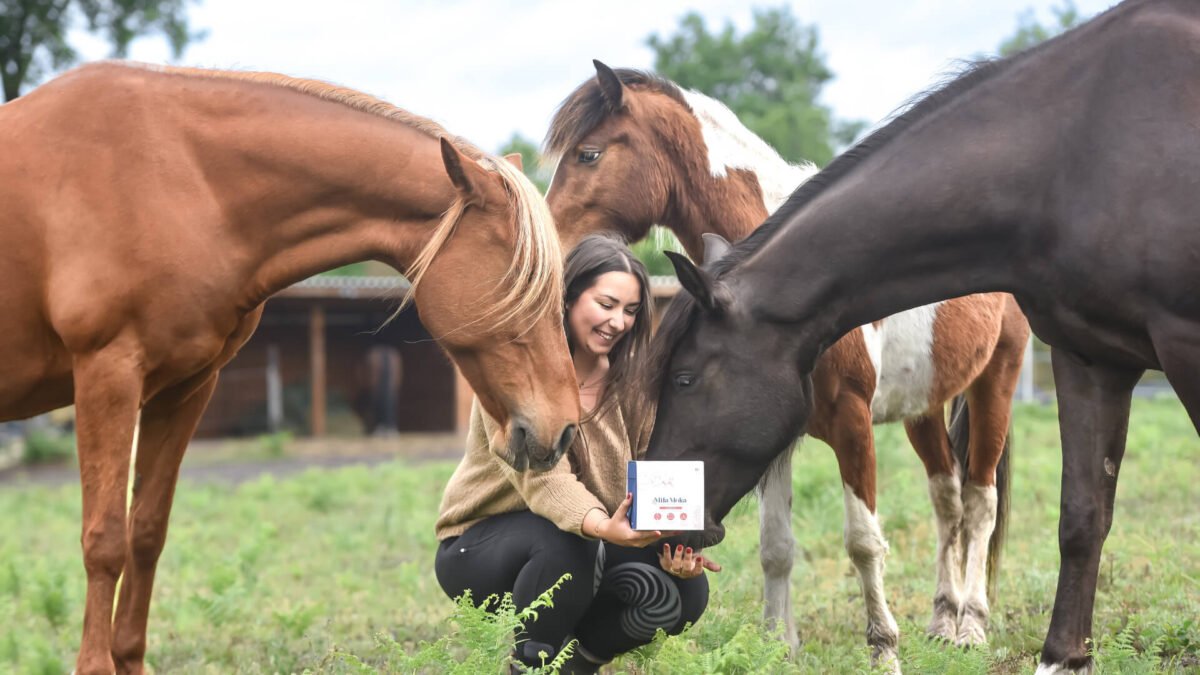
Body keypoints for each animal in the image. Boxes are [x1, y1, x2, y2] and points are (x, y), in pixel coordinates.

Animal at [0, 61, 579, 674]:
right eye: (524, 284)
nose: (563, 429)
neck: (176, 179)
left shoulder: (182, 390)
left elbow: (146, 534)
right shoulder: (106, 376)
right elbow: (105, 540)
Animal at [543, 62, 1029, 666]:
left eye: (588, 154)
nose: (554, 249)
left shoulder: (850, 421)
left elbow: (863, 542)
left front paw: (883, 651)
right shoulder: (769, 432)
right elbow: (775, 547)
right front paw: (779, 644)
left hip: (996, 382)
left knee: (981, 500)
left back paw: (971, 626)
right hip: (924, 406)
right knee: (947, 498)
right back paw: (942, 617)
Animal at [641, 1, 1200, 672]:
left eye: (684, 378)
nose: (656, 520)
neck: (1065, 157)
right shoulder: (1089, 358)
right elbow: (1082, 515)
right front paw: (1062, 656)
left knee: (978, 500)